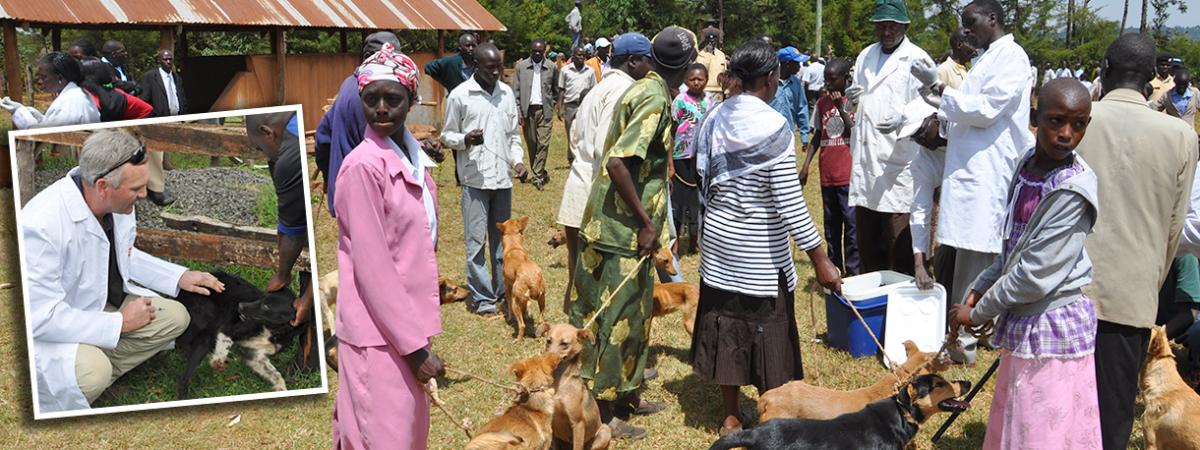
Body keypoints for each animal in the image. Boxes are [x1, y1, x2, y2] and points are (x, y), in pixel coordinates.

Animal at [174, 273, 304, 400]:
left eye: (266, 306)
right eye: (261, 297)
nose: (240, 305)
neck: (270, 330)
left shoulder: (257, 356)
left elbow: (276, 374)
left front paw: (282, 389)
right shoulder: (228, 329)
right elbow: (226, 343)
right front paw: (218, 361)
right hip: (206, 330)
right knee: (183, 376)